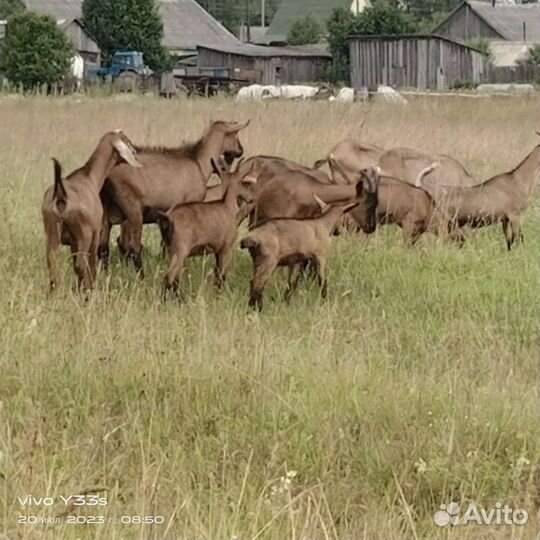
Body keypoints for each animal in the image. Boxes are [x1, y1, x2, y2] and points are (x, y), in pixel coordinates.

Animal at [42, 130, 141, 292]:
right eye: (126, 139)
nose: (135, 151)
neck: (90, 176)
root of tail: (61, 195)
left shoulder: (72, 243)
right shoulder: (95, 233)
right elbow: (93, 265)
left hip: (52, 233)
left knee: (53, 264)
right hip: (84, 235)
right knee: (81, 265)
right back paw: (85, 291)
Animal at [99, 119, 249, 268]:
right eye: (235, 134)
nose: (241, 150)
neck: (199, 162)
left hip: (107, 212)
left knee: (104, 247)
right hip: (133, 211)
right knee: (132, 247)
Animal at [157, 158, 256, 298]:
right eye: (244, 183)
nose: (251, 199)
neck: (227, 206)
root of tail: (168, 218)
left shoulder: (217, 249)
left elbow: (216, 273)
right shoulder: (227, 247)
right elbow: (221, 276)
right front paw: (219, 295)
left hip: (170, 248)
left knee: (174, 277)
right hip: (180, 249)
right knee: (170, 276)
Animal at [240, 185, 368, 312]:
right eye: (344, 217)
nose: (338, 231)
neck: (322, 223)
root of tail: (253, 237)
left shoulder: (296, 261)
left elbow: (292, 282)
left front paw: (286, 301)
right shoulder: (321, 257)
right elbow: (322, 281)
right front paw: (325, 301)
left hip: (257, 260)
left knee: (253, 282)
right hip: (268, 261)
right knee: (258, 284)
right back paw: (257, 309)